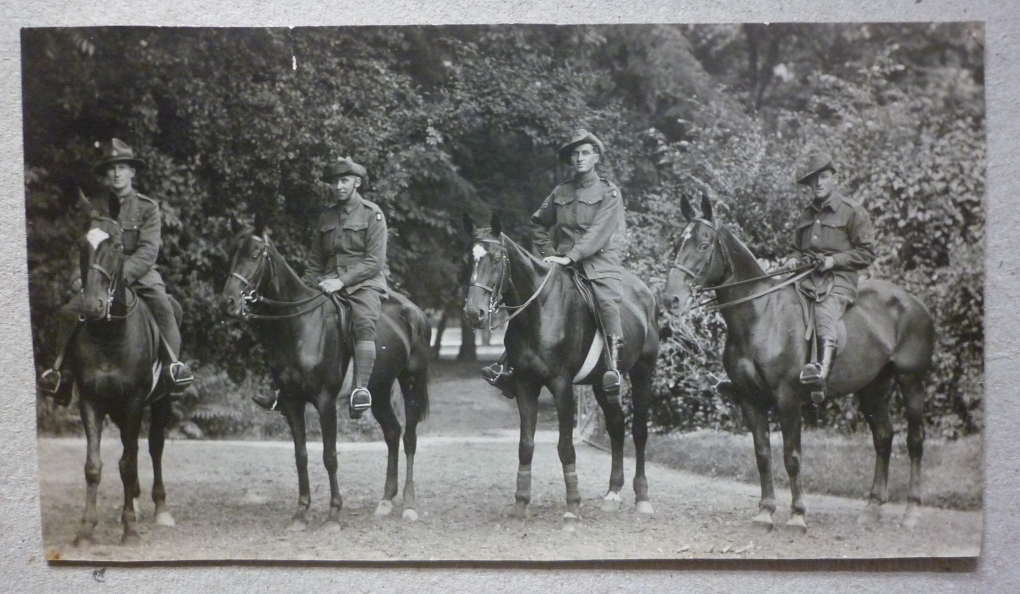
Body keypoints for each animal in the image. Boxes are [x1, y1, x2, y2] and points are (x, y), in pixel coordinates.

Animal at [64, 198, 175, 547]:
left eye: (115, 244)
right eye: (80, 244)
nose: (92, 305)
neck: (109, 336)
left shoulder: (134, 401)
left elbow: (128, 462)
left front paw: (129, 529)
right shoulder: (91, 402)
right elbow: (94, 466)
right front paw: (86, 529)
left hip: (162, 401)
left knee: (153, 447)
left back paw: (160, 508)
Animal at [223, 220, 430, 530]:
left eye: (255, 254)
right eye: (232, 253)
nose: (229, 301)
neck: (299, 325)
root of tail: (416, 312)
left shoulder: (325, 401)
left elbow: (329, 456)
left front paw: (333, 513)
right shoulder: (293, 402)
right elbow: (301, 456)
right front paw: (301, 512)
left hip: (411, 383)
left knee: (409, 439)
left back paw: (409, 505)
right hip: (379, 390)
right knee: (393, 433)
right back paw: (385, 501)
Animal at [465, 217, 660, 526]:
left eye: (496, 259)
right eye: (468, 260)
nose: (474, 313)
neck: (540, 310)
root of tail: (646, 295)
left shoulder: (561, 386)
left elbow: (565, 446)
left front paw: (573, 505)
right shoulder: (525, 385)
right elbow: (525, 444)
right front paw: (520, 502)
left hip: (643, 373)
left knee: (639, 431)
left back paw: (641, 497)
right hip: (601, 383)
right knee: (616, 426)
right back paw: (613, 493)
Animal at [660, 196, 934, 534]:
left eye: (703, 244)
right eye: (677, 243)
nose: (670, 299)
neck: (760, 316)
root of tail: (915, 302)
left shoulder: (788, 399)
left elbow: (792, 456)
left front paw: (798, 515)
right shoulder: (750, 400)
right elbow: (762, 454)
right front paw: (765, 512)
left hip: (911, 380)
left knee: (915, 440)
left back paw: (912, 510)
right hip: (873, 387)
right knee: (883, 437)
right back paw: (872, 508)